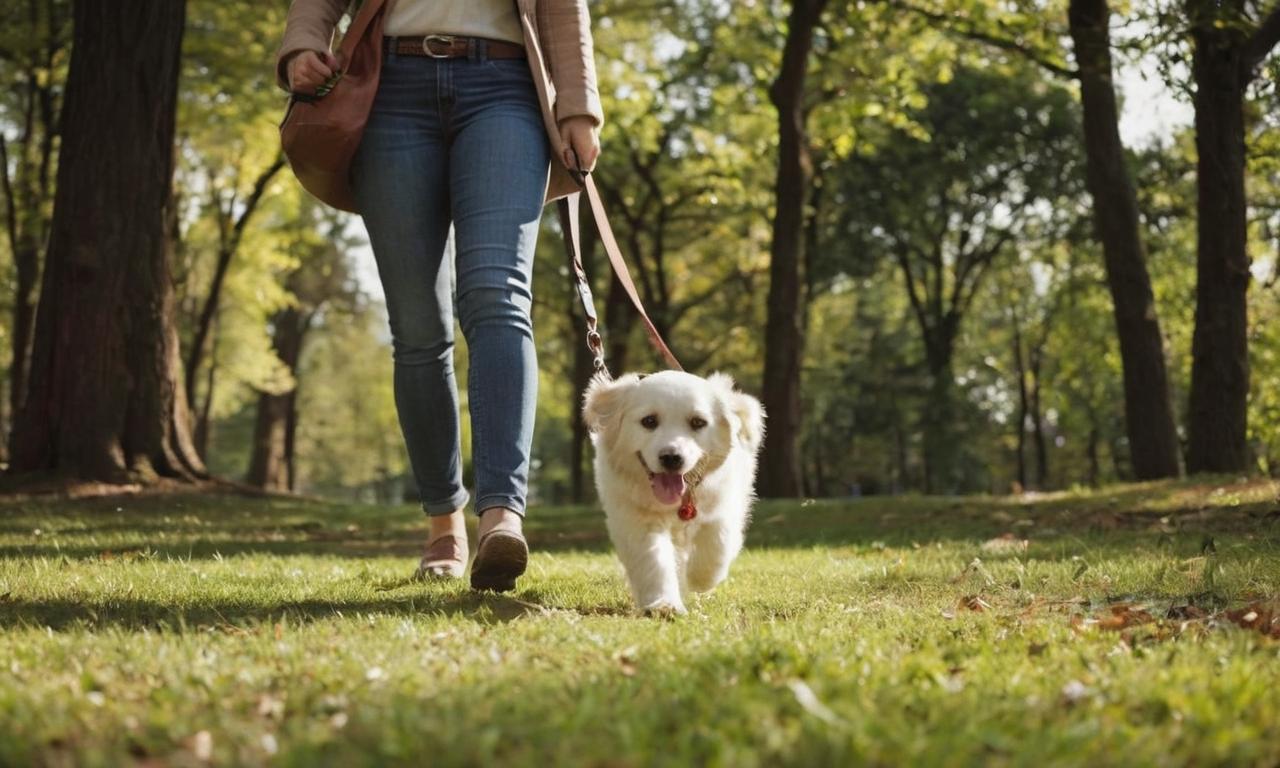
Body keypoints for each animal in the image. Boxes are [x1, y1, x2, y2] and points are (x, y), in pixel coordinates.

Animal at [586, 368, 762, 614]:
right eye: (649, 421)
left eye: (698, 422)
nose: (671, 457)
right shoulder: (637, 519)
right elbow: (653, 560)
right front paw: (664, 605)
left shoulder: (725, 502)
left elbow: (718, 542)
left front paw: (699, 578)